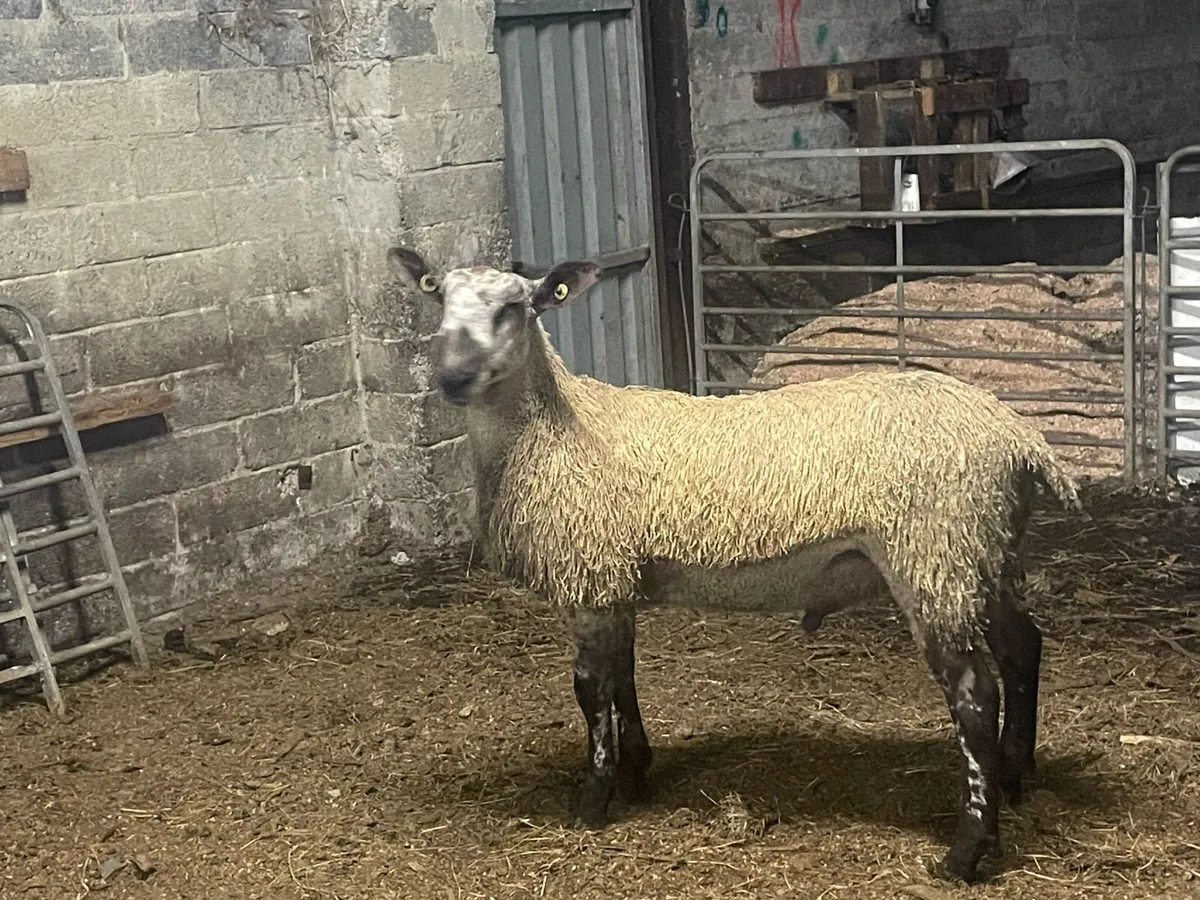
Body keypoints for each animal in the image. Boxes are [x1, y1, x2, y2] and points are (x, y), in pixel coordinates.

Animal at [385, 245, 1080, 884]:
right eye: (437, 297)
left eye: (515, 308)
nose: (453, 377)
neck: (552, 430)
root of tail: (1017, 436)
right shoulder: (617, 576)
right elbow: (624, 676)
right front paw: (636, 772)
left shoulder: (589, 572)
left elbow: (589, 689)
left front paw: (593, 802)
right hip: (982, 552)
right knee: (1023, 646)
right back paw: (1017, 774)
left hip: (932, 553)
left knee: (975, 693)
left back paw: (968, 850)